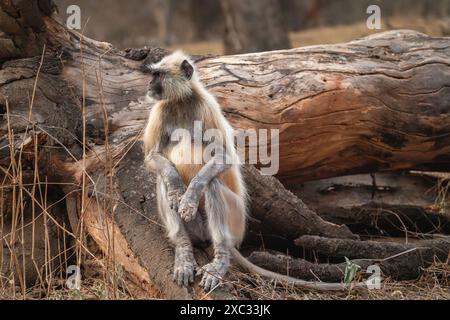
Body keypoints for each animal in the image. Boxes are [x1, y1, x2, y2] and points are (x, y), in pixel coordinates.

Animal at [142, 50, 360, 292]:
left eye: (158, 75)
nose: (149, 85)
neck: (181, 102)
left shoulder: (207, 107)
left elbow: (224, 157)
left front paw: (189, 198)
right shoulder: (160, 110)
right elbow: (153, 157)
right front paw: (178, 192)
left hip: (236, 219)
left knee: (212, 184)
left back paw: (220, 259)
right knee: (164, 178)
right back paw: (184, 250)